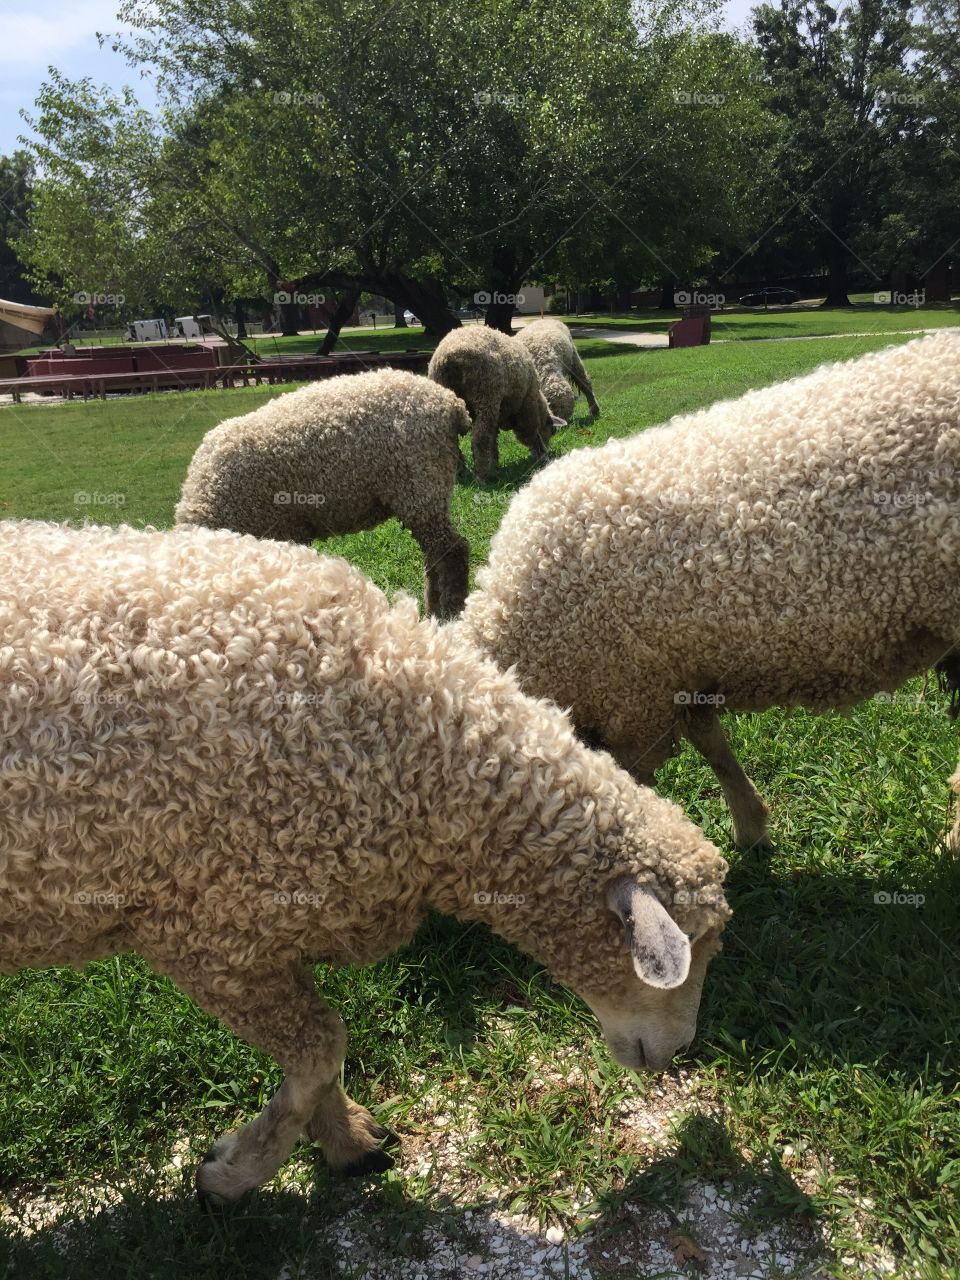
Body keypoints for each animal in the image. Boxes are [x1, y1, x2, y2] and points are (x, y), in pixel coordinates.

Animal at [1, 522, 727, 1208]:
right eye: (683, 958)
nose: (675, 1053)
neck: (421, 766)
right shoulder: (209, 934)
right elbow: (322, 1045)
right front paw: (234, 1173)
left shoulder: (266, 931)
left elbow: (315, 1051)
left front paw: (346, 1143)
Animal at [176, 366, 473, 619]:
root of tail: (452, 403)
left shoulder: (282, 530)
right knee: (435, 554)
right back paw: (433, 609)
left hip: (421, 482)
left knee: (453, 550)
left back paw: (449, 612)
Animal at [427, 322, 563, 481]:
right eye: (551, 431)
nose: (546, 447)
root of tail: (450, 356)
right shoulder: (527, 408)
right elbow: (530, 433)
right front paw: (543, 456)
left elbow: (494, 441)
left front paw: (495, 464)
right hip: (486, 395)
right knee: (480, 439)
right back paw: (483, 476)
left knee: (454, 443)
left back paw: (462, 473)